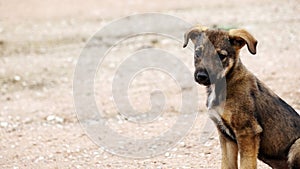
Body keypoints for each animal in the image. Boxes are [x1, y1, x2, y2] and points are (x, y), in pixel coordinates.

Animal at [183, 25, 300, 169]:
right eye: (198, 53)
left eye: (221, 56)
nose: (201, 76)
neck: (224, 83)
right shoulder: (226, 136)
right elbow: (227, 165)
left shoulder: (247, 132)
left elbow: (246, 164)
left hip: (296, 146)